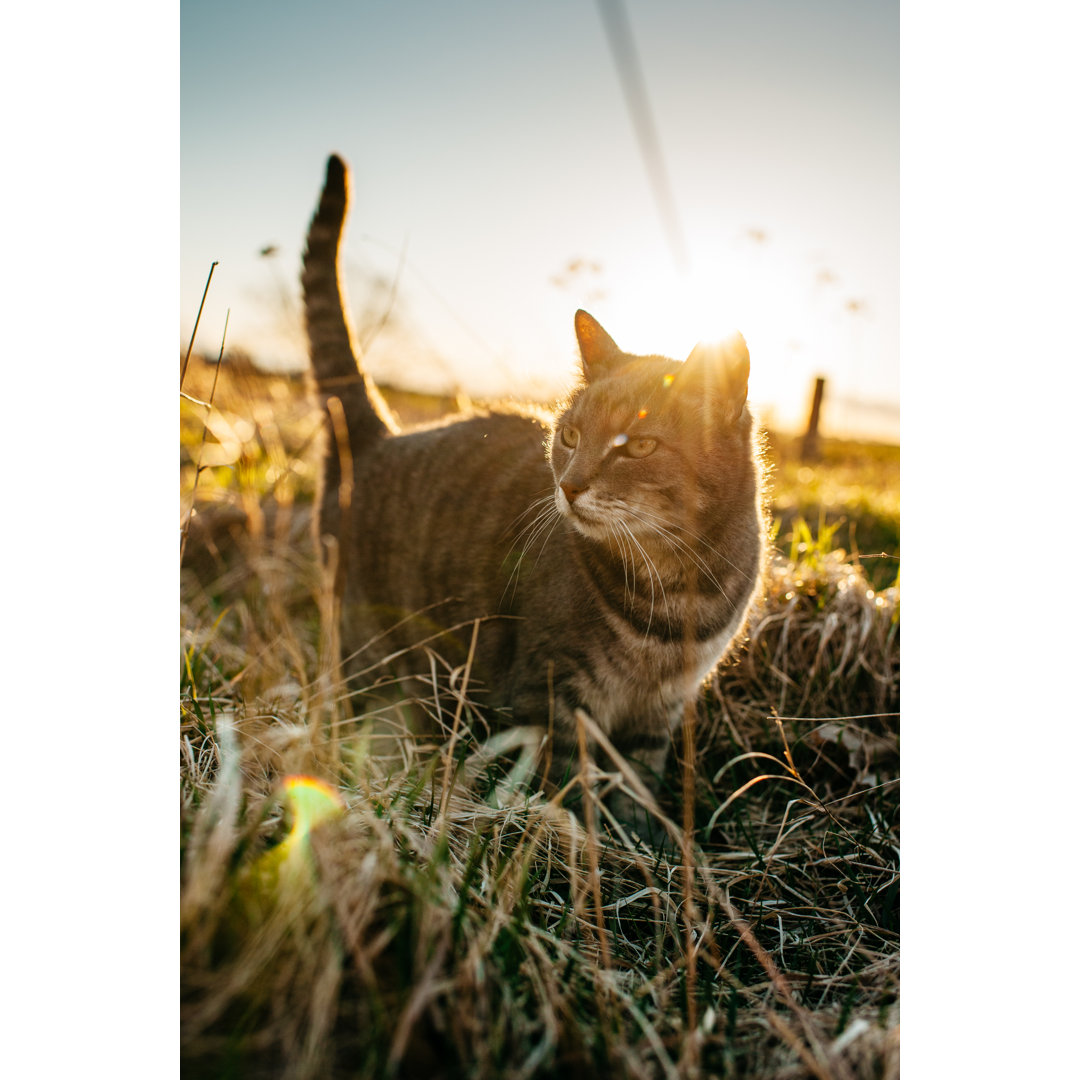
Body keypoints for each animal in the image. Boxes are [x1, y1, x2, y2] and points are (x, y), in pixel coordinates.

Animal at [300, 156, 764, 838]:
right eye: (569, 435)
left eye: (638, 446)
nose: (568, 485)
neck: (675, 584)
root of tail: (379, 437)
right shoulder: (551, 695)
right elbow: (573, 785)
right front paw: (580, 838)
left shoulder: (659, 712)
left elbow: (637, 783)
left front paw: (639, 840)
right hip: (372, 651)